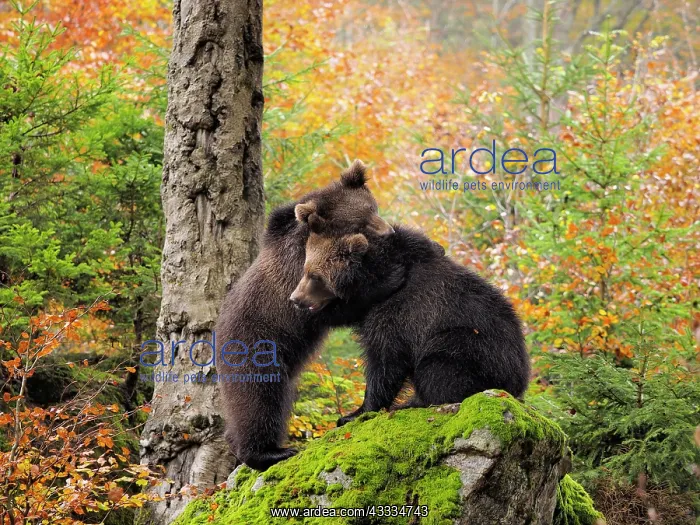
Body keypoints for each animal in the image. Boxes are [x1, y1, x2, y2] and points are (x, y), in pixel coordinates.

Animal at [215, 160, 394, 471]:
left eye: (374, 208)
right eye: (360, 223)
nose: (390, 232)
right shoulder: (304, 271)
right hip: (257, 345)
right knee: (259, 396)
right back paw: (269, 452)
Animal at [289, 218, 531, 426]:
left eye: (314, 276)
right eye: (306, 270)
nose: (295, 299)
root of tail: (519, 382)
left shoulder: (399, 314)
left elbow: (385, 362)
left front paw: (354, 413)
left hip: (476, 349)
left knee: (441, 363)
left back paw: (414, 401)